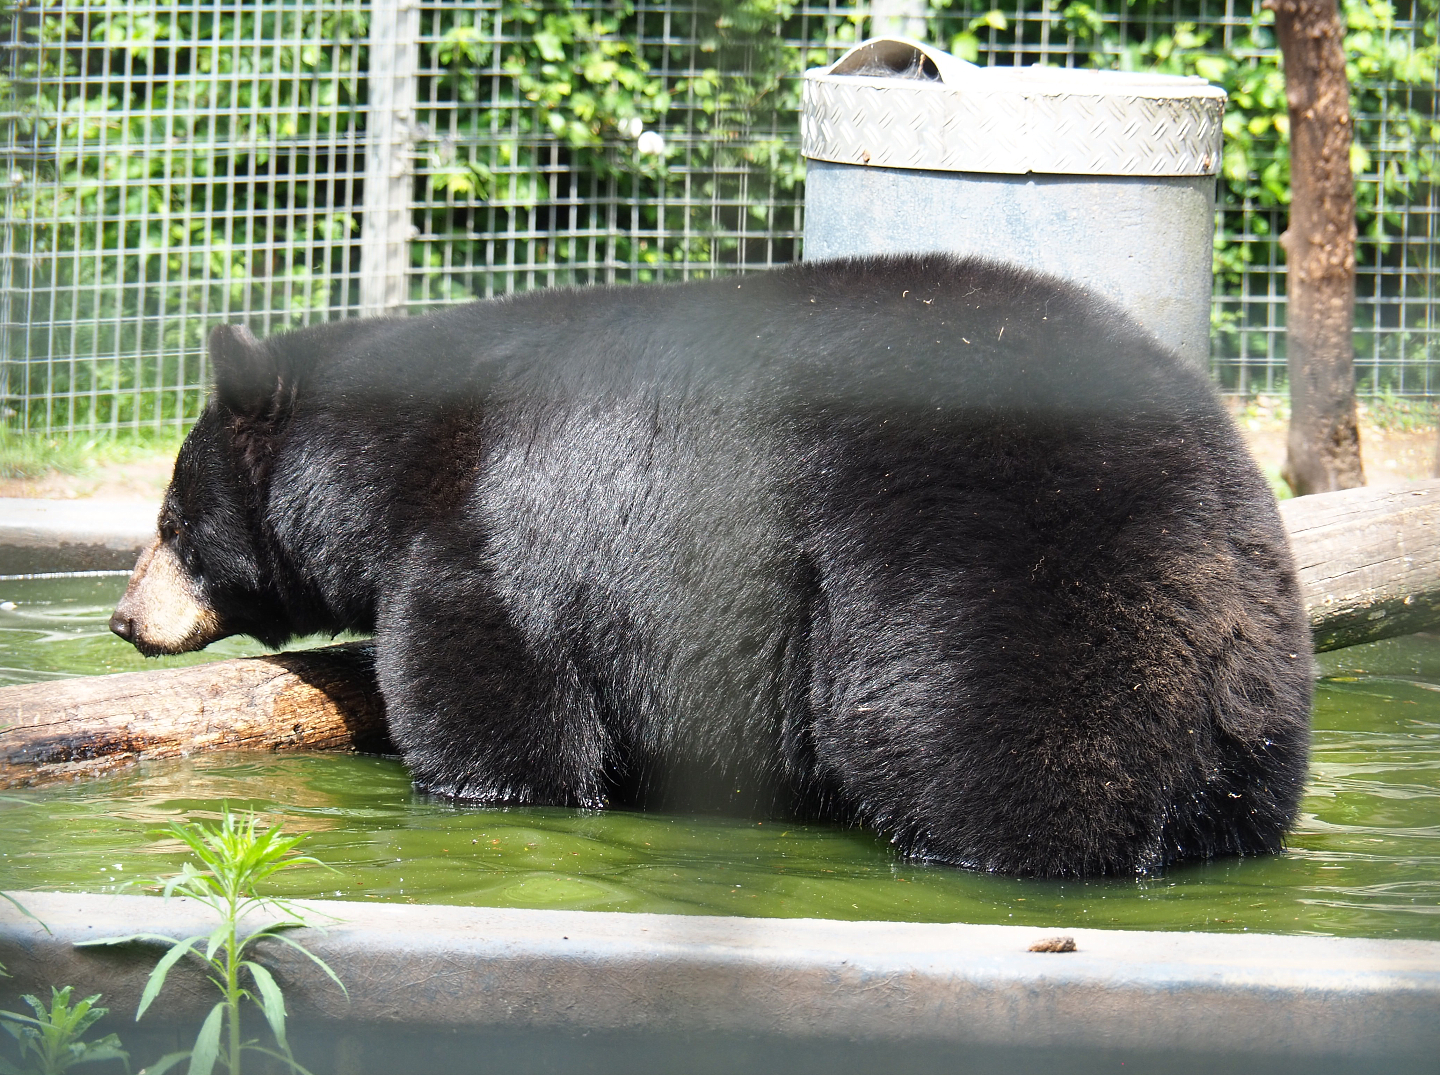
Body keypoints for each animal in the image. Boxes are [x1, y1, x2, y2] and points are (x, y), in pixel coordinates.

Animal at [109, 255, 1313, 878]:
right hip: (1254, 673)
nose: (124, 617)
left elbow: (500, 709)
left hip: (998, 586)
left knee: (994, 755)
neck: (390, 460)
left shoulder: (498, 541)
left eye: (169, 518)